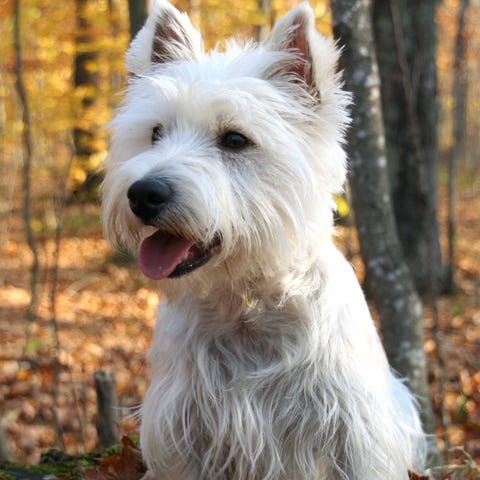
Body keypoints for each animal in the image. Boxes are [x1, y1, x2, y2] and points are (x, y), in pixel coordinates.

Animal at [102, 1, 428, 478]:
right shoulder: (178, 429)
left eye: (235, 139)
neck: (246, 304)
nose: (144, 193)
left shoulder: (355, 432)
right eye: (156, 132)